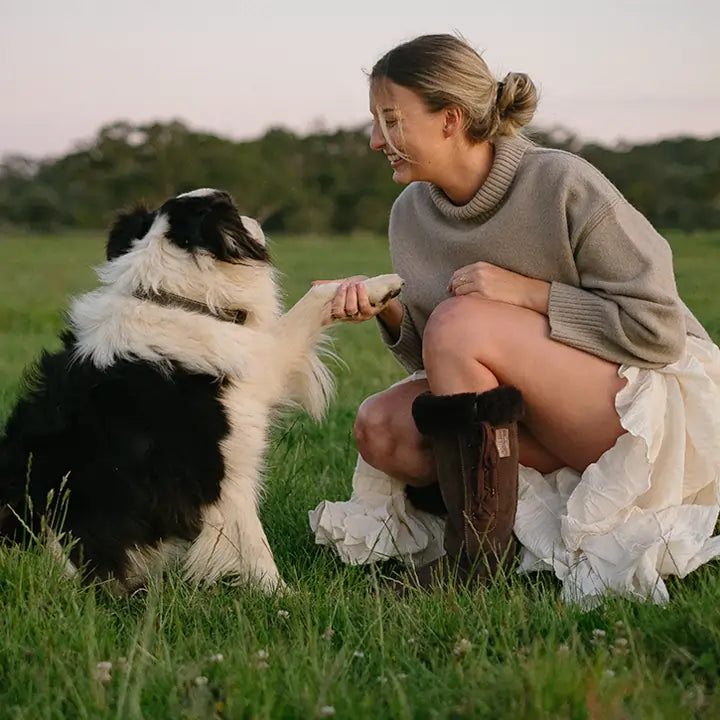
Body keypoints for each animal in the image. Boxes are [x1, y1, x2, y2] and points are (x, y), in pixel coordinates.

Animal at [0, 188, 404, 592]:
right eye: (235, 211)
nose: (257, 219)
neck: (175, 300)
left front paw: (377, 288)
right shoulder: (226, 465)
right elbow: (253, 543)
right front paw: (281, 595)